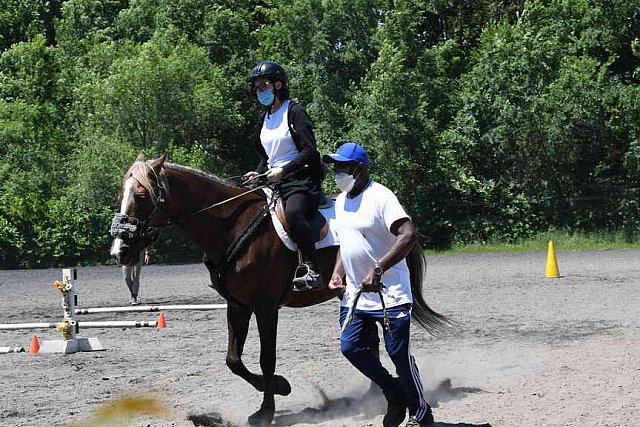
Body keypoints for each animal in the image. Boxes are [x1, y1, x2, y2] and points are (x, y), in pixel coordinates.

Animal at [109, 155, 450, 426]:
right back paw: (374, 393)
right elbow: (233, 359)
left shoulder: (265, 307)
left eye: (141, 195)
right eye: (121, 194)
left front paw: (267, 408)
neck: (232, 226)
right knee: (369, 339)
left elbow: (266, 358)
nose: (119, 250)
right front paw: (277, 386)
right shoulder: (238, 306)